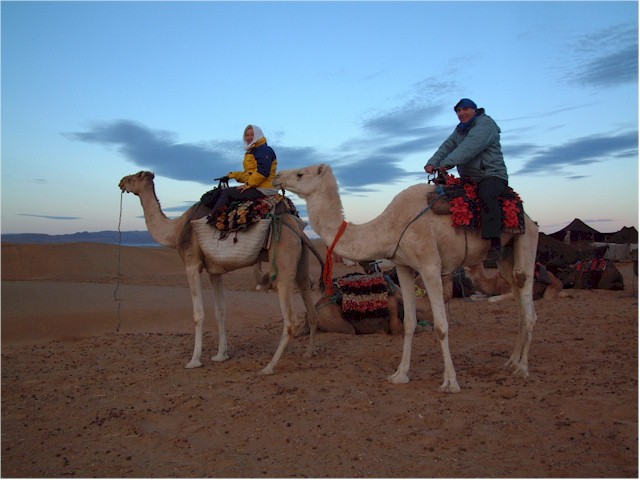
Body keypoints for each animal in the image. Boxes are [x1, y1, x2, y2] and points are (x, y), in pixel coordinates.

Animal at [118, 171, 320, 375]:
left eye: (135, 176)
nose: (121, 182)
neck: (176, 230)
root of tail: (296, 227)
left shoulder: (192, 264)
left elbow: (198, 314)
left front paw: (194, 360)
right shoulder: (215, 272)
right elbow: (220, 311)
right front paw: (221, 355)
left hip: (283, 258)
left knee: (291, 320)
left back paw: (269, 367)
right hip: (300, 258)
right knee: (309, 304)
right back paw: (309, 353)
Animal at [273, 164, 538, 392]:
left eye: (300, 174)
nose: (277, 177)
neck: (390, 227)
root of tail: (529, 216)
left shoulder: (430, 265)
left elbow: (441, 326)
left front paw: (450, 382)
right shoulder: (403, 267)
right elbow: (409, 322)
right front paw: (400, 374)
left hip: (526, 240)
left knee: (527, 299)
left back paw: (523, 368)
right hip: (504, 257)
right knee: (519, 302)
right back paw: (511, 362)